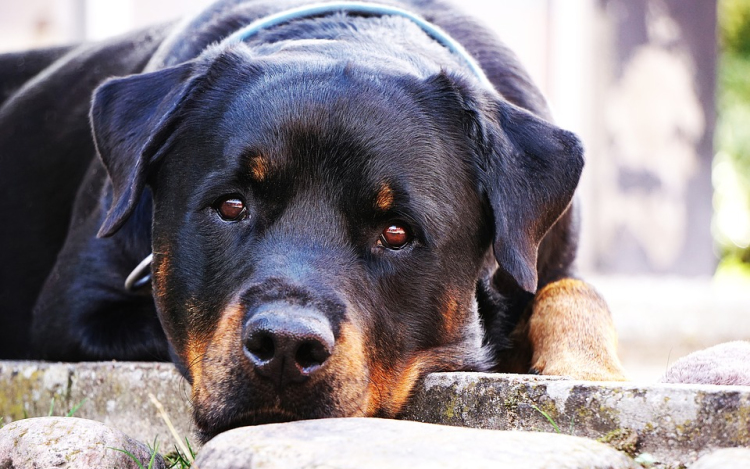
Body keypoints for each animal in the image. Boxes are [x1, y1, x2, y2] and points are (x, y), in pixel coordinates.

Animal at [1, 0, 628, 440]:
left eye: (397, 232)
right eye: (231, 205)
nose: (285, 345)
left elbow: (576, 291)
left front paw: (589, 368)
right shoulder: (79, 311)